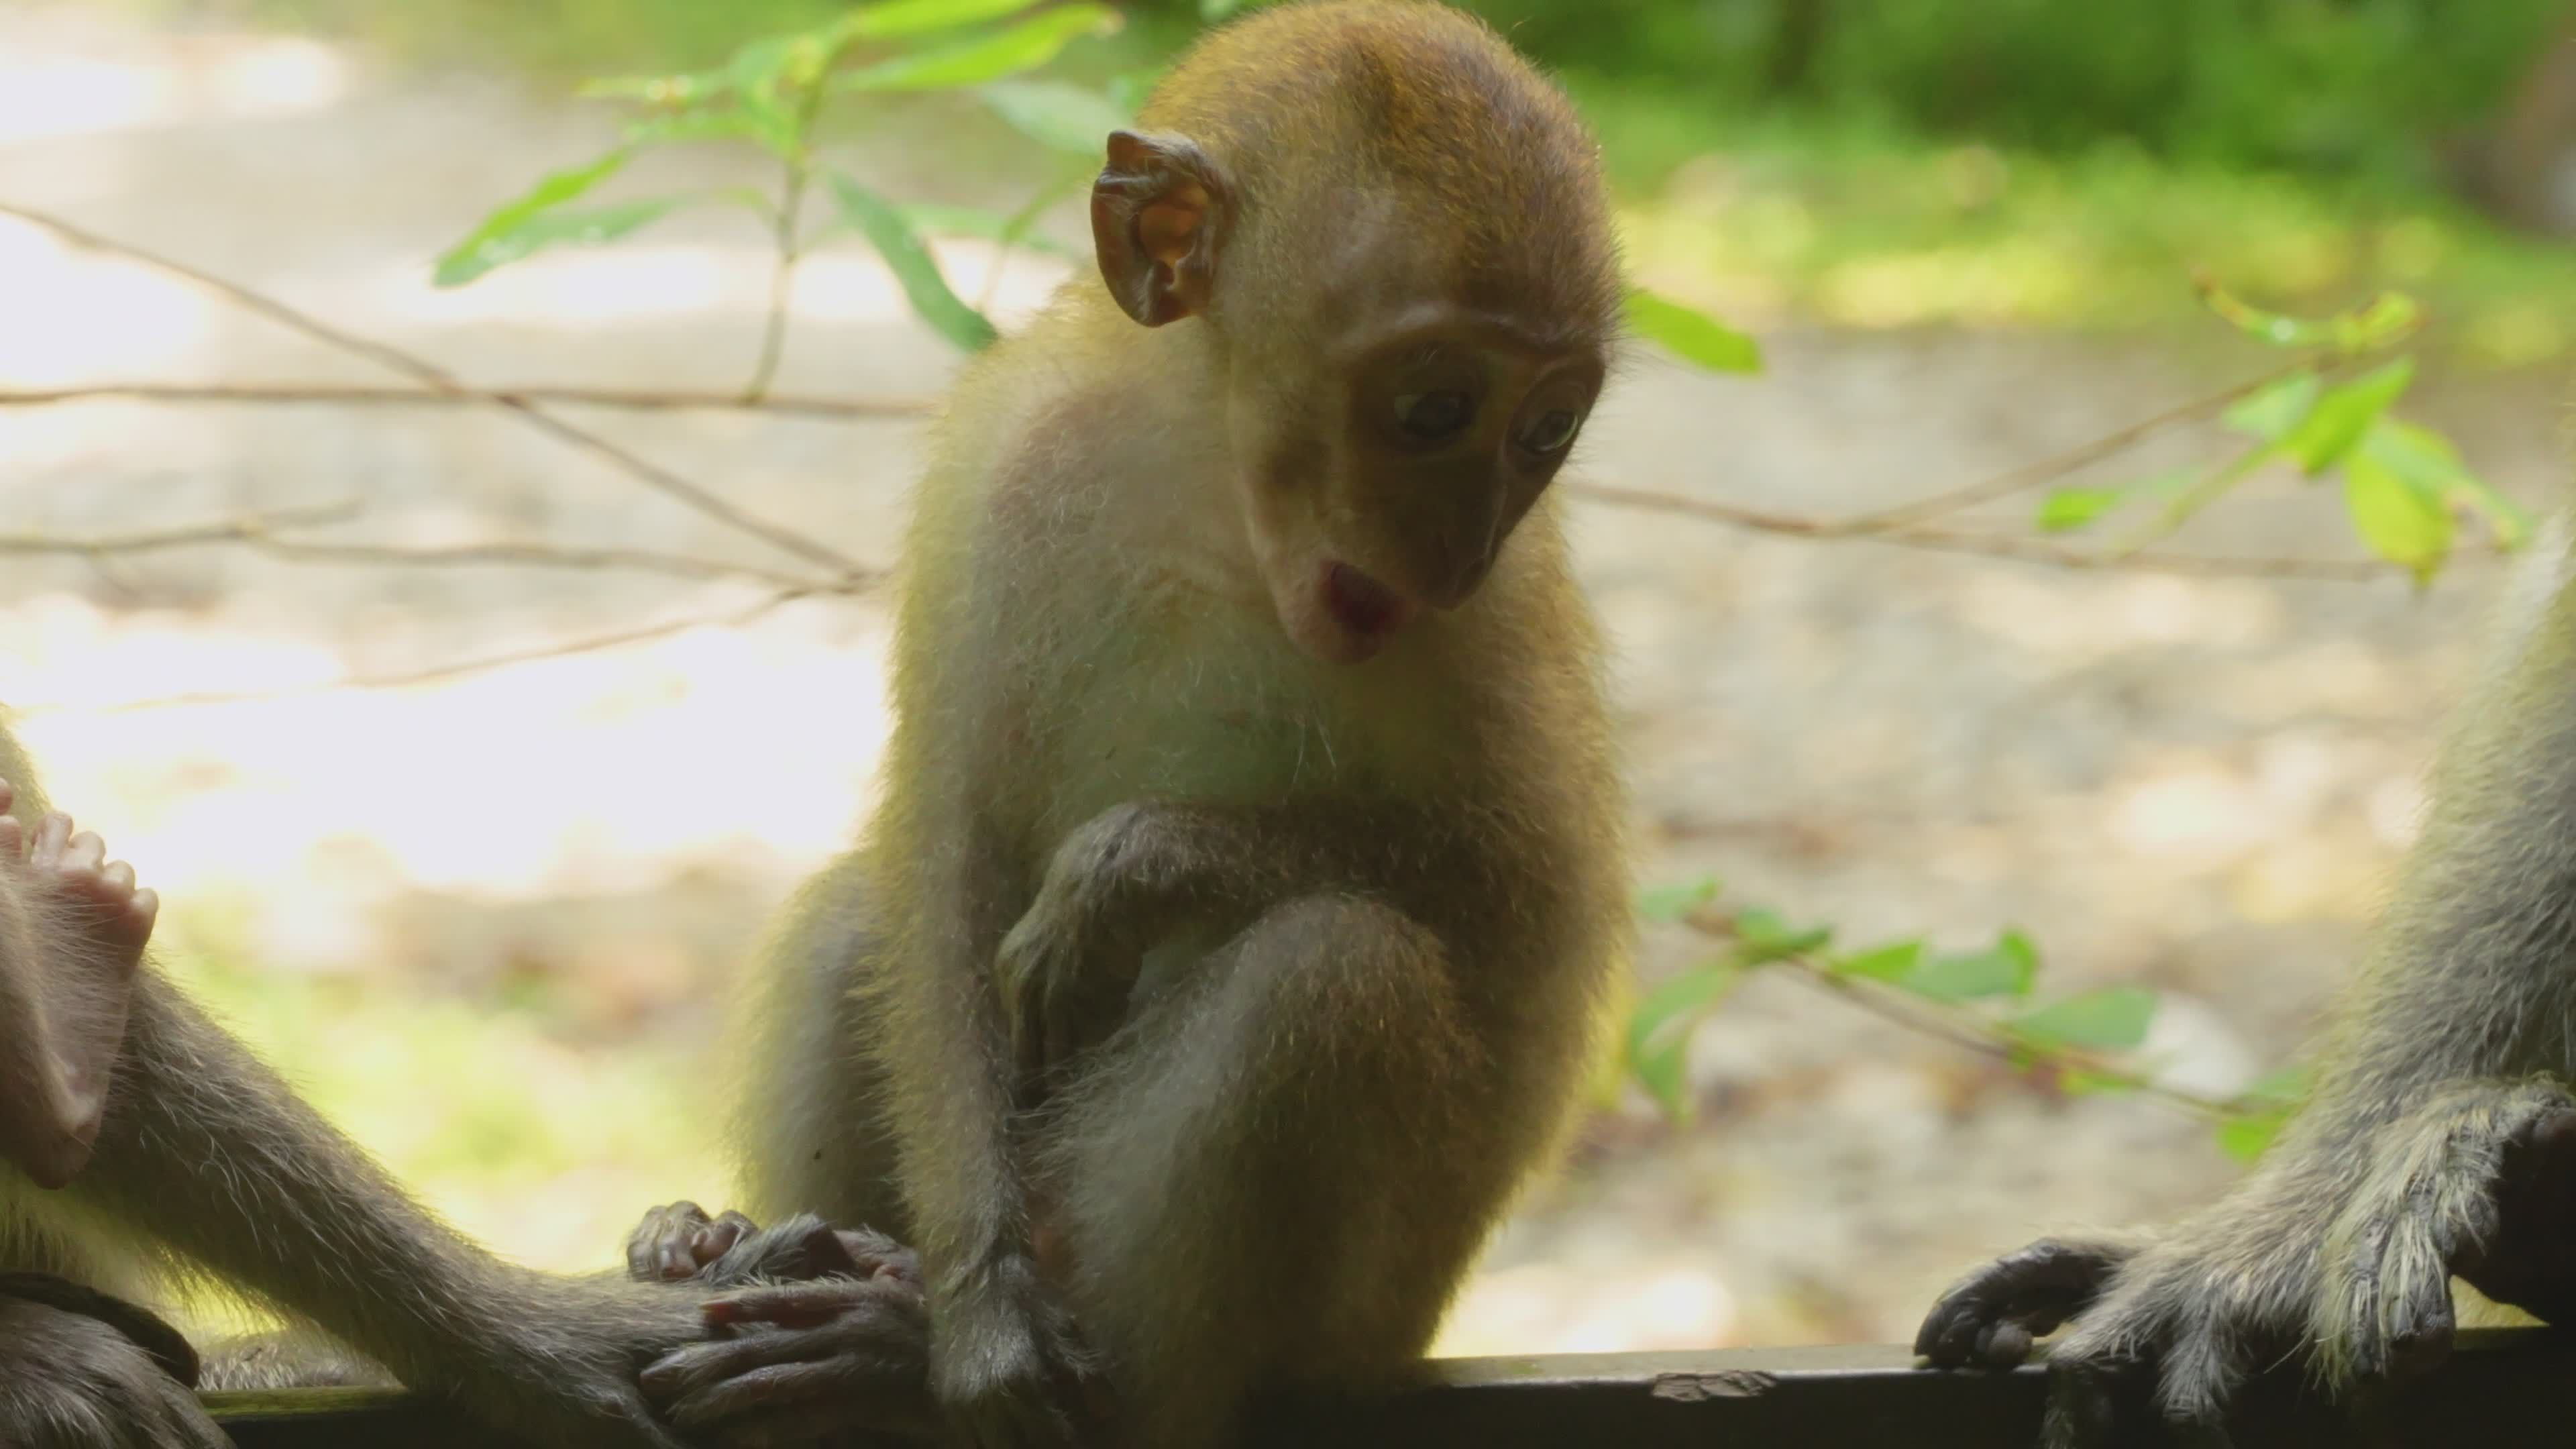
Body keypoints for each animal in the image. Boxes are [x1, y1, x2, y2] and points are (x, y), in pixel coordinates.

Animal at [620, 3, 1634, 1446]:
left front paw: (1133, 869)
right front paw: (984, 1310)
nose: (1459, 543)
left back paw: (932, 1356)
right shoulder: (998, 469)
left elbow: (1529, 903)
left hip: (1362, 1314)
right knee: (861, 919)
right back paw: (753, 1251)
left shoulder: (1497, 620)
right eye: (1434, 409)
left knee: (1328, 974)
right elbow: (949, 854)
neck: (1210, 489)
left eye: (1547, 428)